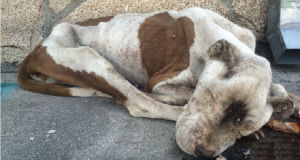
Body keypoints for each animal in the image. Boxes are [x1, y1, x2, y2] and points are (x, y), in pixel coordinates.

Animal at [18, 7, 298, 158]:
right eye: (210, 98)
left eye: (244, 126)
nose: (203, 152)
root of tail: (38, 47)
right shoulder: (159, 81)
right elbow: (184, 93)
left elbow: (285, 94)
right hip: (89, 59)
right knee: (139, 101)